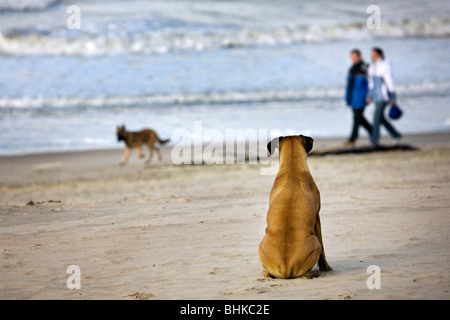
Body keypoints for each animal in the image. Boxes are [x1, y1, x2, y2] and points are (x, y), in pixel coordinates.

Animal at [258, 135, 332, 278]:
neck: (292, 167)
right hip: (316, 243)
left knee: (266, 272)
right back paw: (315, 272)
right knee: (308, 271)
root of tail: (285, 267)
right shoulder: (317, 218)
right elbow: (323, 250)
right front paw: (325, 266)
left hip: (261, 245)